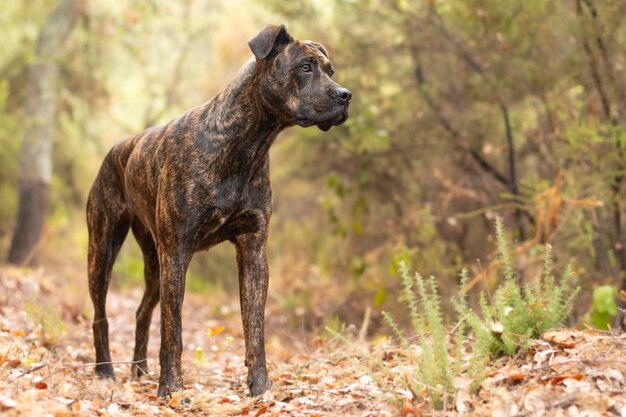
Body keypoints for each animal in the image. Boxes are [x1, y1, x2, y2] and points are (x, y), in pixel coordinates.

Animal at [85, 24, 352, 394]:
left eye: (331, 71)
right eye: (305, 67)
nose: (345, 95)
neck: (246, 144)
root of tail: (117, 150)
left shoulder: (253, 250)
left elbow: (254, 328)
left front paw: (259, 386)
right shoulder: (177, 253)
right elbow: (173, 332)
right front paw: (172, 389)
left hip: (155, 264)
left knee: (141, 312)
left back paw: (139, 370)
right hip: (104, 251)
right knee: (101, 315)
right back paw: (105, 371)